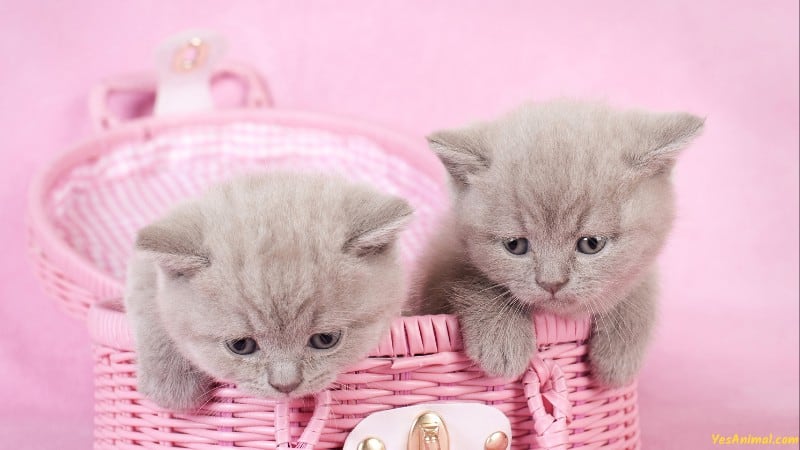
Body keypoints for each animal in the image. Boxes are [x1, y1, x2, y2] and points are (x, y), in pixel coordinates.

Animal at [126, 173, 412, 412]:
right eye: (241, 345)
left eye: (325, 339)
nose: (286, 385)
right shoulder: (141, 271)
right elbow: (149, 304)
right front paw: (170, 385)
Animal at [416, 100, 704, 384]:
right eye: (515, 245)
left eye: (591, 244)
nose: (551, 283)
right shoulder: (440, 265)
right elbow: (471, 280)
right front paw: (502, 339)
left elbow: (638, 285)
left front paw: (620, 357)